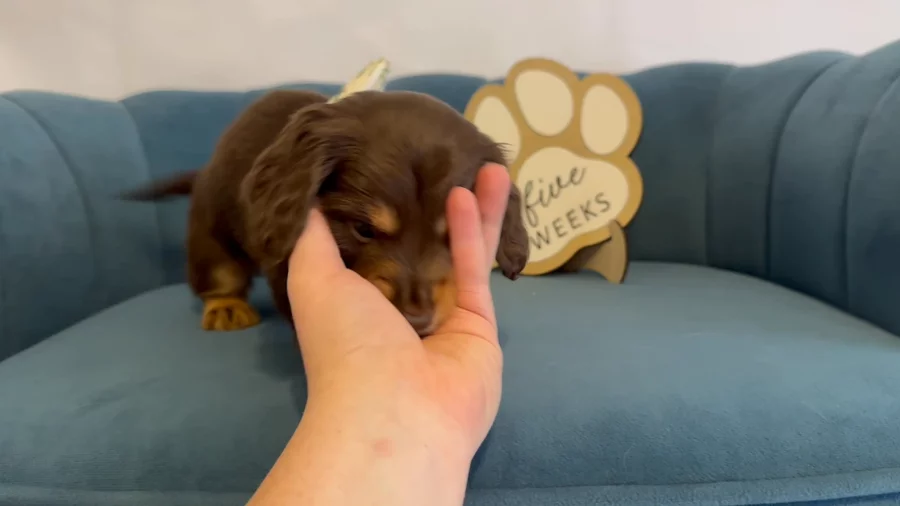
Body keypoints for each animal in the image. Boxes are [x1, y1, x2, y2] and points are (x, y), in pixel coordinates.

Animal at [123, 89, 530, 335]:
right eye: (363, 229)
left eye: (453, 235)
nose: (416, 319)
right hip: (213, 232)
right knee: (220, 273)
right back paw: (225, 308)